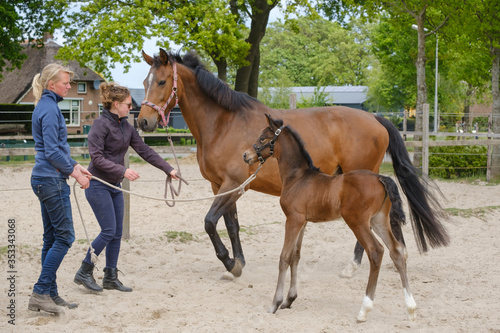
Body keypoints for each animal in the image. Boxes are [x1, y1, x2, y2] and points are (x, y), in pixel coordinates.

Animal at [137, 48, 450, 278]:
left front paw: (229, 263)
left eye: (162, 82)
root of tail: (375, 118)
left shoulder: (234, 184)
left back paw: (353, 266)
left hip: (360, 179)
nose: (143, 122)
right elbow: (231, 225)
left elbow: (210, 223)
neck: (224, 123)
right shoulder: (221, 186)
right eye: (144, 83)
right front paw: (238, 263)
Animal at [244, 113, 416, 320]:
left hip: (358, 222)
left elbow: (284, 257)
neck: (298, 178)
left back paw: (364, 309)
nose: (246, 155)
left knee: (376, 251)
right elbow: (296, 256)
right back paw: (411, 308)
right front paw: (289, 300)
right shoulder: (303, 222)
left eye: (263, 138)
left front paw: (275, 304)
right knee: (396, 251)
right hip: (379, 220)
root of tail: (380, 178)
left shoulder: (292, 220)